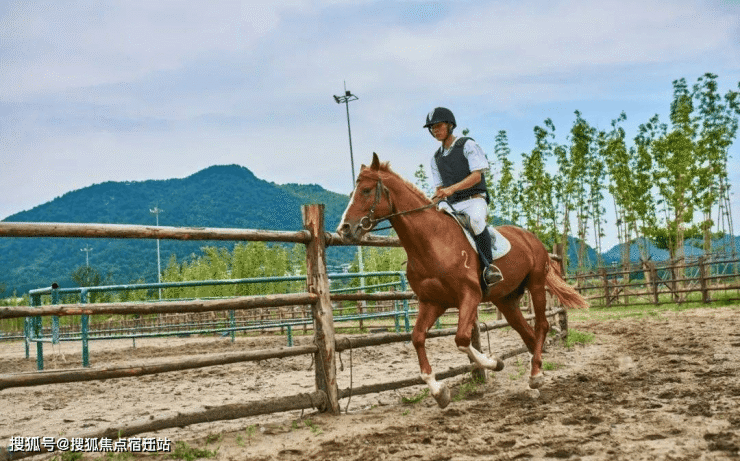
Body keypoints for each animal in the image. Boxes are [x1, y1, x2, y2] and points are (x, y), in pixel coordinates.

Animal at [338, 153, 588, 408]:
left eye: (366, 190)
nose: (344, 229)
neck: (432, 241)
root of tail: (531, 238)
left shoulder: (470, 295)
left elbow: (462, 338)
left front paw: (494, 362)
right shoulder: (432, 302)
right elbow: (417, 338)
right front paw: (439, 392)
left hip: (536, 285)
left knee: (541, 326)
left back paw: (536, 377)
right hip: (506, 300)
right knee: (527, 333)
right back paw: (533, 381)